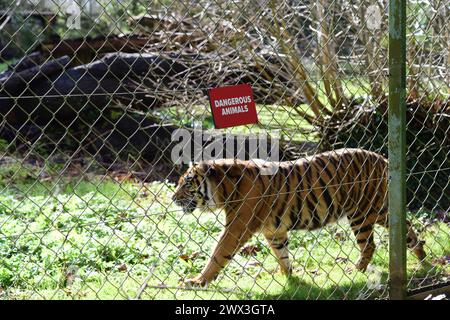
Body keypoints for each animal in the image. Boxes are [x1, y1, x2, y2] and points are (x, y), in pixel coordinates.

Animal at [171, 149, 426, 286]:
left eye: (186, 184)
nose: (172, 198)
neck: (223, 189)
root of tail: (382, 158)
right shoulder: (274, 230)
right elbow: (281, 254)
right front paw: (287, 277)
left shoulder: (237, 227)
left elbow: (218, 253)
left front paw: (198, 281)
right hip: (381, 209)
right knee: (407, 227)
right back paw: (422, 258)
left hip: (361, 213)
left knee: (369, 245)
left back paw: (356, 271)